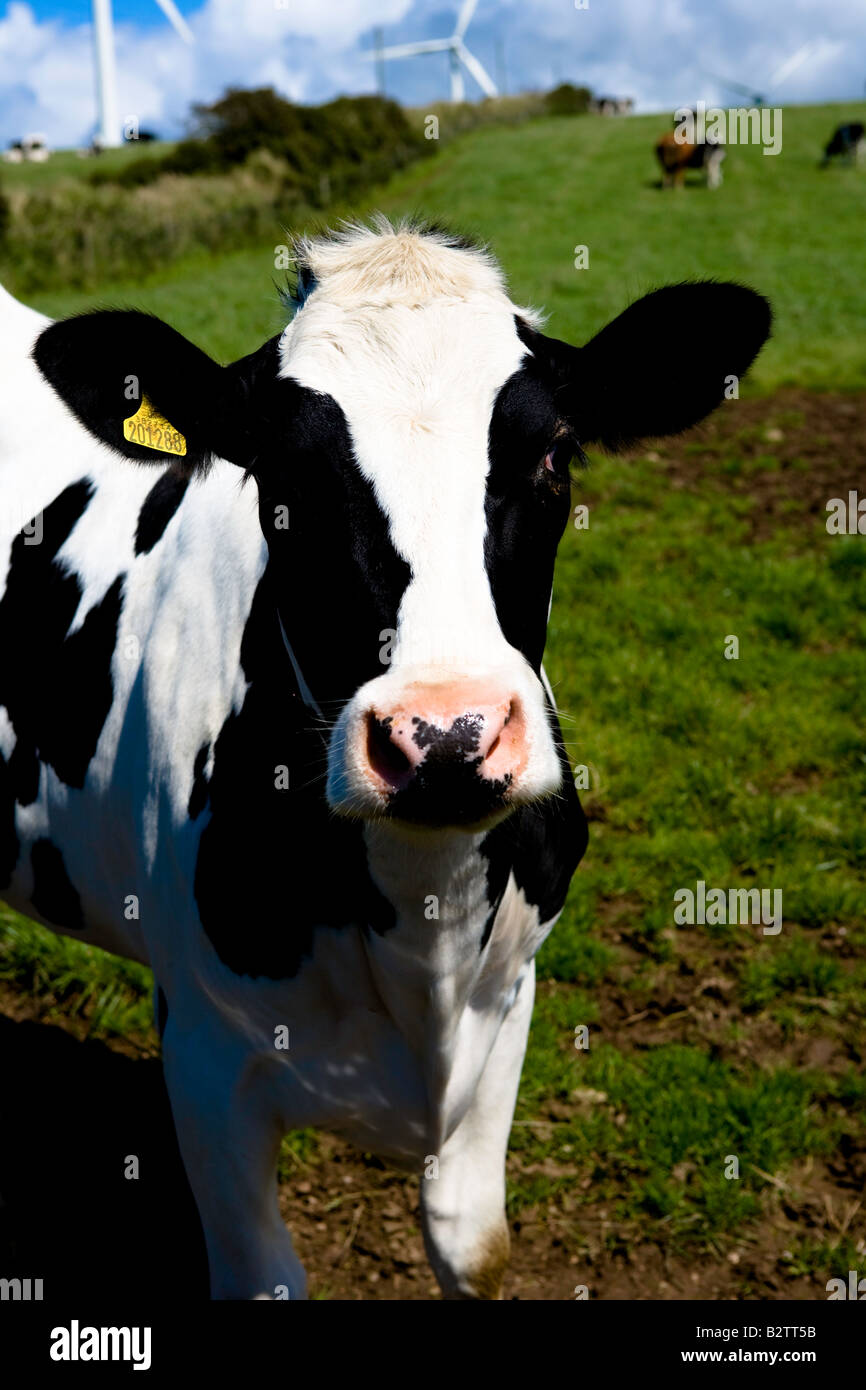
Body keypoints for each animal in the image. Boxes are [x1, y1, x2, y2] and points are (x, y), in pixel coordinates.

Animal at [0, 219, 771, 1300]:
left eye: (553, 452)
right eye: (280, 479)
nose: (444, 735)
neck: (421, 936)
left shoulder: (509, 998)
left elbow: (469, 1243)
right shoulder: (201, 1049)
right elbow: (268, 1279)